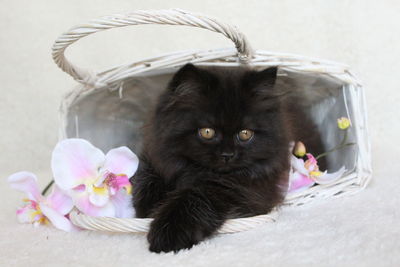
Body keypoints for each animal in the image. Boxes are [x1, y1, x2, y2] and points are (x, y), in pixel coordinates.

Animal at [130, 63, 322, 254]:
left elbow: (195, 198)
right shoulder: (155, 156)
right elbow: (148, 178)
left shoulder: (242, 189)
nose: (228, 155)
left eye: (245, 134)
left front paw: (168, 234)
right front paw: (148, 207)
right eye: (207, 132)